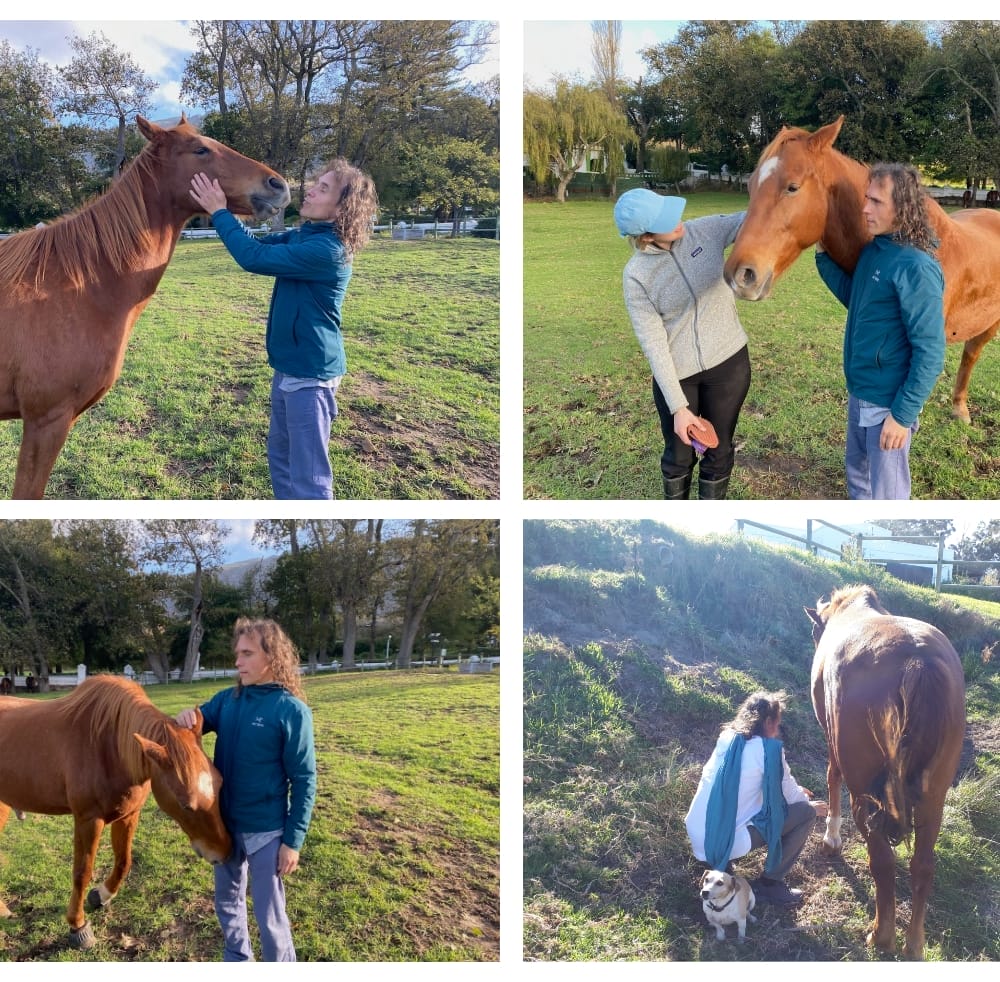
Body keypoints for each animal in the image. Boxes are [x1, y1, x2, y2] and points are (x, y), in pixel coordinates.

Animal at [0, 680, 230, 948]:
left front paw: (102, 895)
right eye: (185, 805)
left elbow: (123, 861)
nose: (224, 853)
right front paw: (78, 925)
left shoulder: (128, 816)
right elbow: (82, 872)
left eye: (220, 783)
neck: (108, 746)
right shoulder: (88, 820)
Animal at [808, 588, 964, 956]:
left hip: (867, 795)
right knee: (923, 866)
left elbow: (832, 777)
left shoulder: (833, 745)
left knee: (882, 861)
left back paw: (881, 937)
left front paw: (831, 838)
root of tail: (917, 660)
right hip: (934, 799)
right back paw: (913, 946)